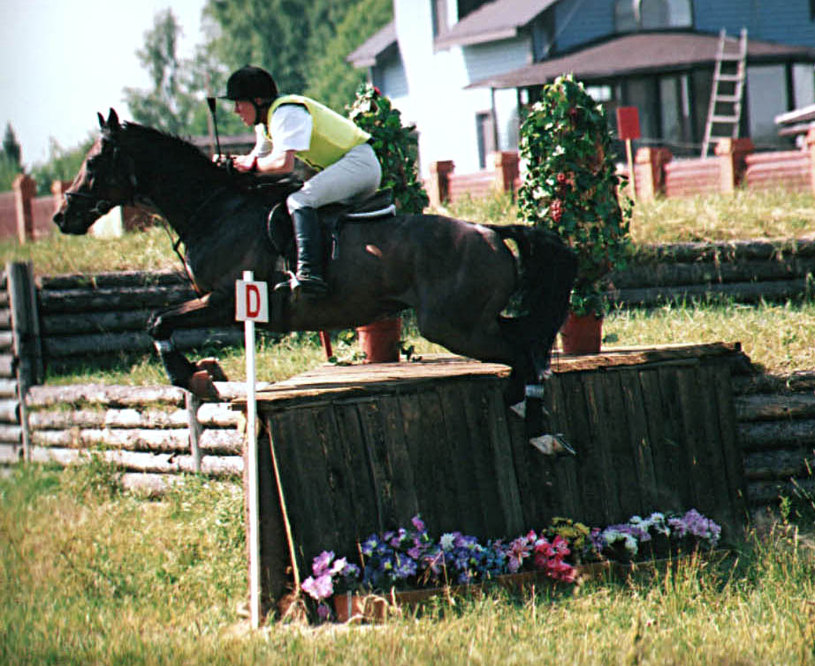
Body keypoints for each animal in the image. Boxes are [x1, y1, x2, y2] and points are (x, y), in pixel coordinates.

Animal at [54, 109, 576, 448]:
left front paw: (189, 374)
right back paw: (524, 408)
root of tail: (491, 231)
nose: (63, 217)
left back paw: (538, 430)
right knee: (525, 343)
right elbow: (159, 320)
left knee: (521, 351)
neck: (215, 210)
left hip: (453, 326)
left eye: (94, 163)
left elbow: (158, 321)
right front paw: (201, 372)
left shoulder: (226, 301)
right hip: (471, 321)